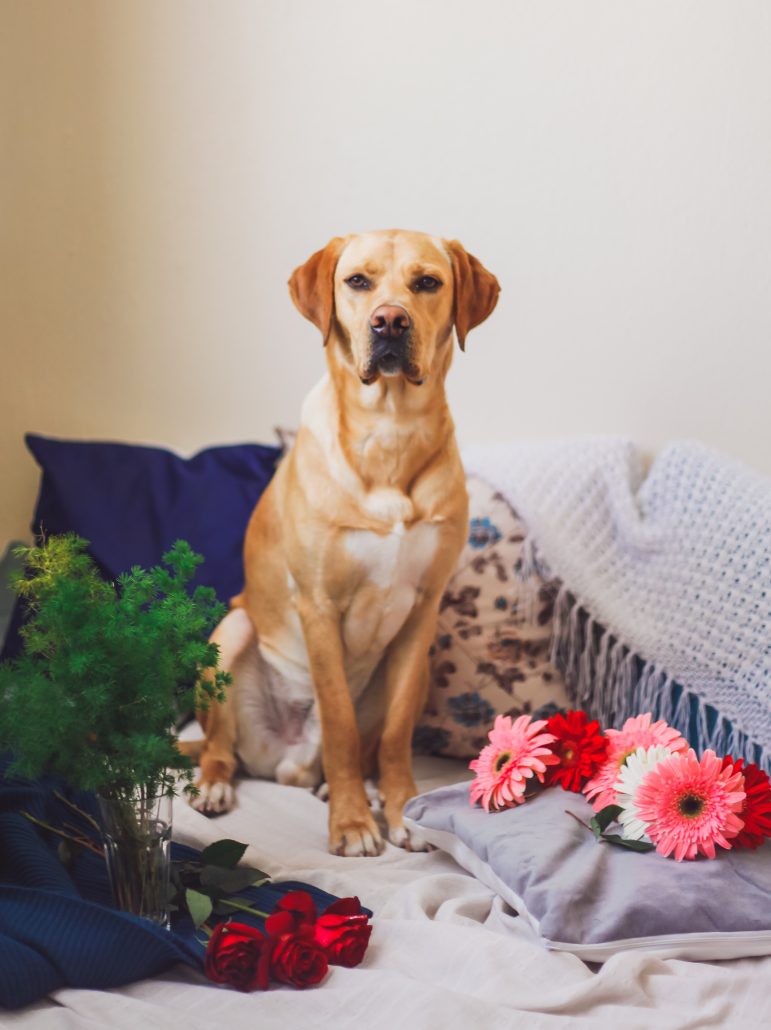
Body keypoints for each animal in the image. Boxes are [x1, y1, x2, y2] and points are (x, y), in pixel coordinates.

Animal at [189, 231, 496, 852]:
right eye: (358, 281)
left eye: (427, 282)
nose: (390, 321)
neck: (391, 430)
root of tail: (286, 763)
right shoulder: (319, 605)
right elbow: (337, 723)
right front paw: (353, 822)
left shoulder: (422, 612)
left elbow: (394, 735)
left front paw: (402, 811)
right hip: (230, 634)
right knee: (219, 746)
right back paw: (218, 783)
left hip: (420, 667)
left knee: (365, 743)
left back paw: (334, 786)